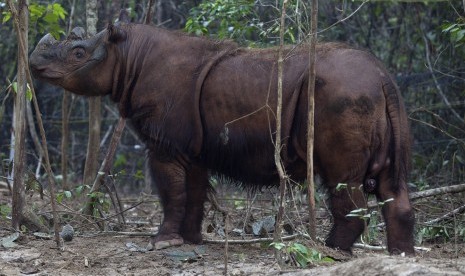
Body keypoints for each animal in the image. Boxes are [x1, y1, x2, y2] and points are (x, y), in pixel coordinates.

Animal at [29, 23, 414, 254]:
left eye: (79, 54)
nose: (34, 62)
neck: (126, 54)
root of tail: (383, 76)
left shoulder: (165, 145)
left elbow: (172, 191)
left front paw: (162, 243)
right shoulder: (192, 147)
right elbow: (194, 191)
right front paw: (190, 239)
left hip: (343, 94)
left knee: (341, 180)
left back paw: (330, 251)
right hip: (373, 97)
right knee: (391, 185)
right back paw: (400, 256)